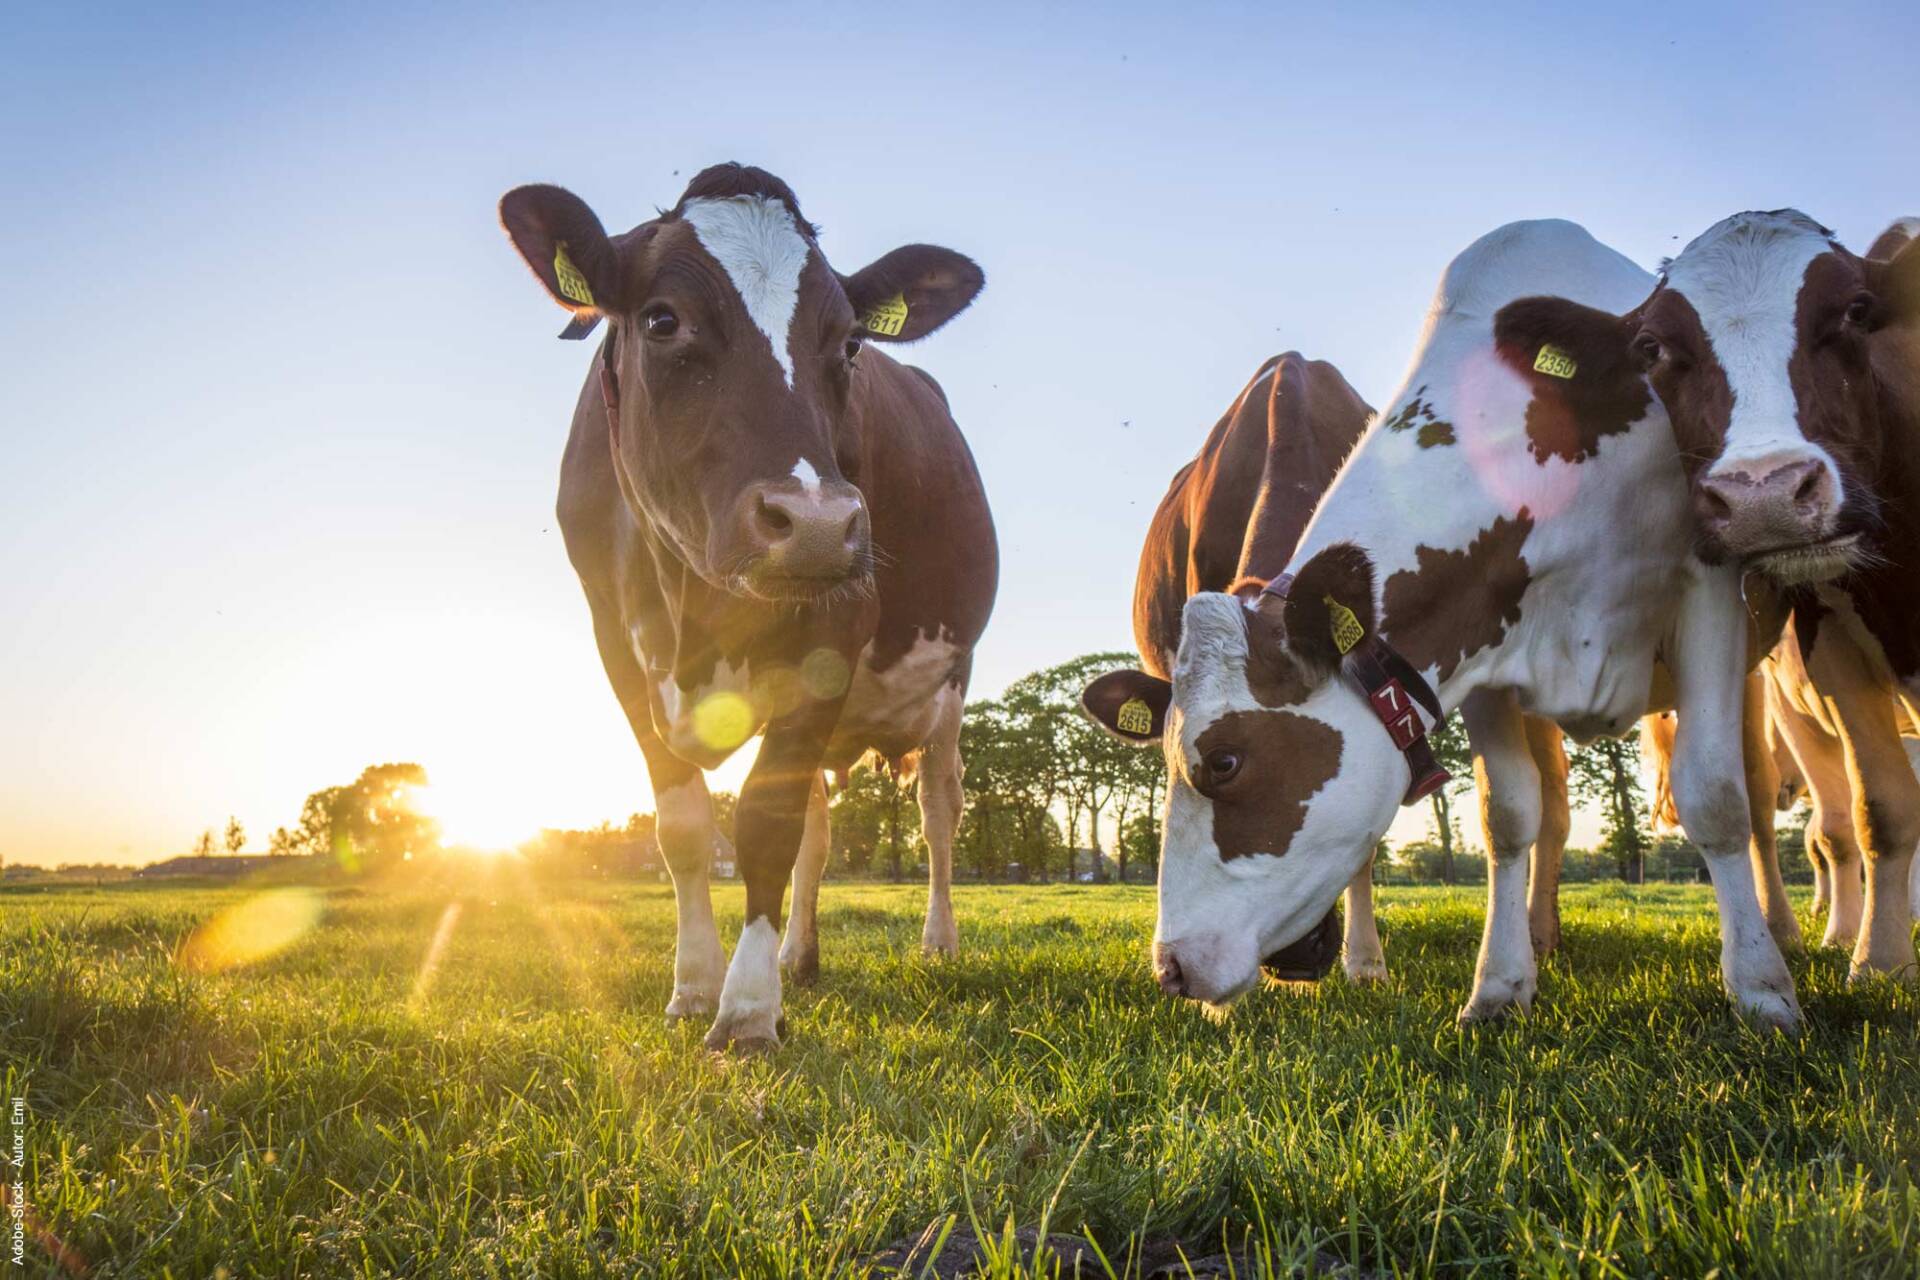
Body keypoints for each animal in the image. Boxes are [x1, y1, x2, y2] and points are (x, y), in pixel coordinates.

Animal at [498, 164, 997, 1050]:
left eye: (852, 343)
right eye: (663, 319)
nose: (819, 524)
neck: (693, 606)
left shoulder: (837, 629)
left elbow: (765, 825)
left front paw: (747, 1011)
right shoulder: (617, 647)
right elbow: (685, 828)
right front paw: (695, 987)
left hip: (949, 682)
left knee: (939, 812)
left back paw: (937, 944)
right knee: (821, 830)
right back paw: (801, 955)